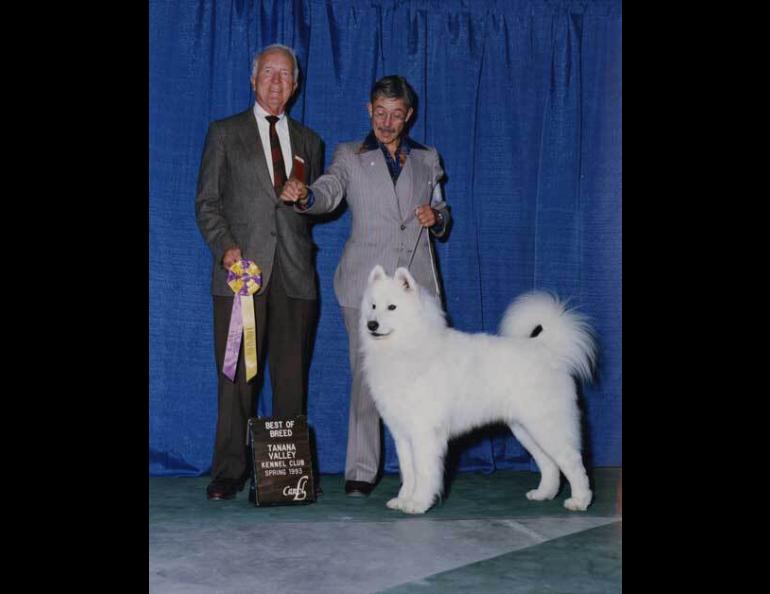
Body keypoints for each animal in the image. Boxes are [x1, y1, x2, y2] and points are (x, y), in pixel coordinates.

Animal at [360, 264, 592, 512]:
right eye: (373, 306)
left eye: (392, 307)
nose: (371, 325)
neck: (406, 347)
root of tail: (547, 349)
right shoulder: (402, 434)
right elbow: (408, 472)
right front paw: (403, 499)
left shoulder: (424, 432)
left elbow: (423, 472)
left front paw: (418, 503)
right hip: (525, 429)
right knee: (549, 463)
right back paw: (543, 494)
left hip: (546, 426)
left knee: (573, 462)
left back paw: (580, 501)